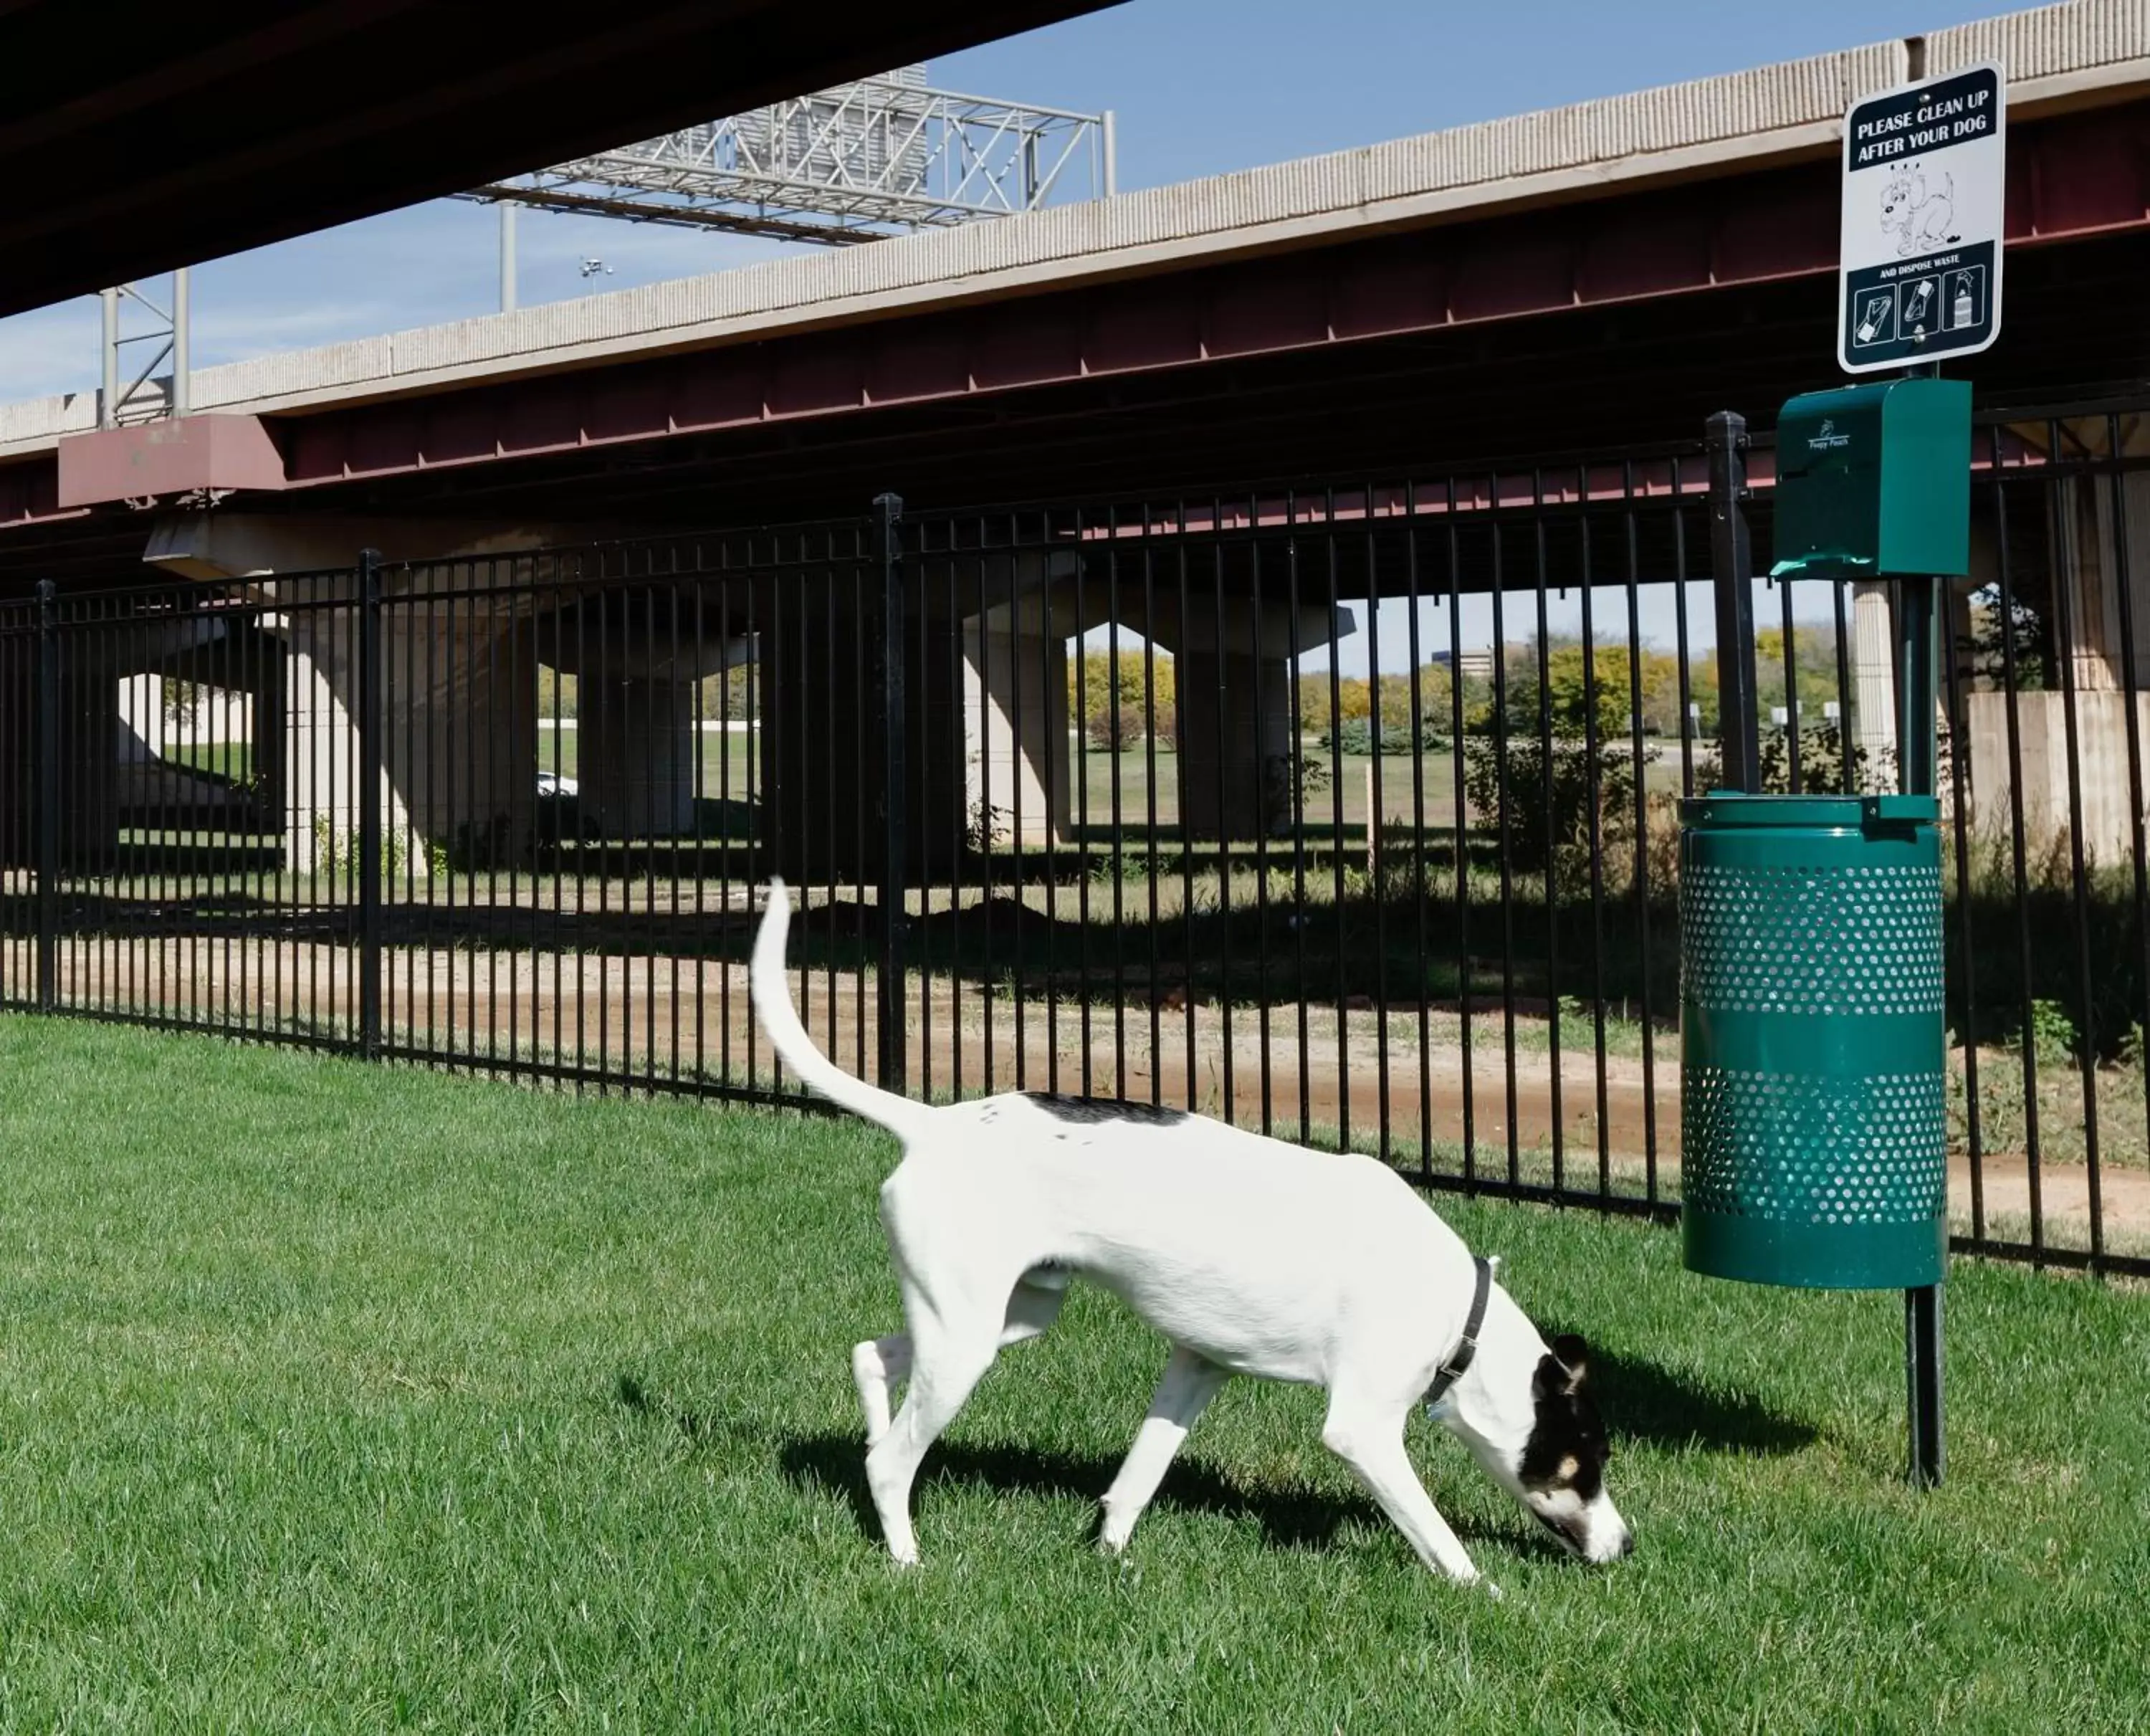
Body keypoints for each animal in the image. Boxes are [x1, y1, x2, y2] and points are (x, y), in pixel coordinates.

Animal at [752, 882, 1625, 1591]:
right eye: (1585, 1461)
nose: (1627, 1545)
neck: (1455, 1312)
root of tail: (937, 1124)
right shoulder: (1363, 1431)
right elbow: (1439, 1537)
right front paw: (1485, 1591)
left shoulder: (1197, 1366)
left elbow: (1137, 1478)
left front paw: (1110, 1557)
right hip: (967, 1345)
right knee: (890, 1460)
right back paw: (905, 1555)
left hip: (1005, 1319)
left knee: (871, 1359)